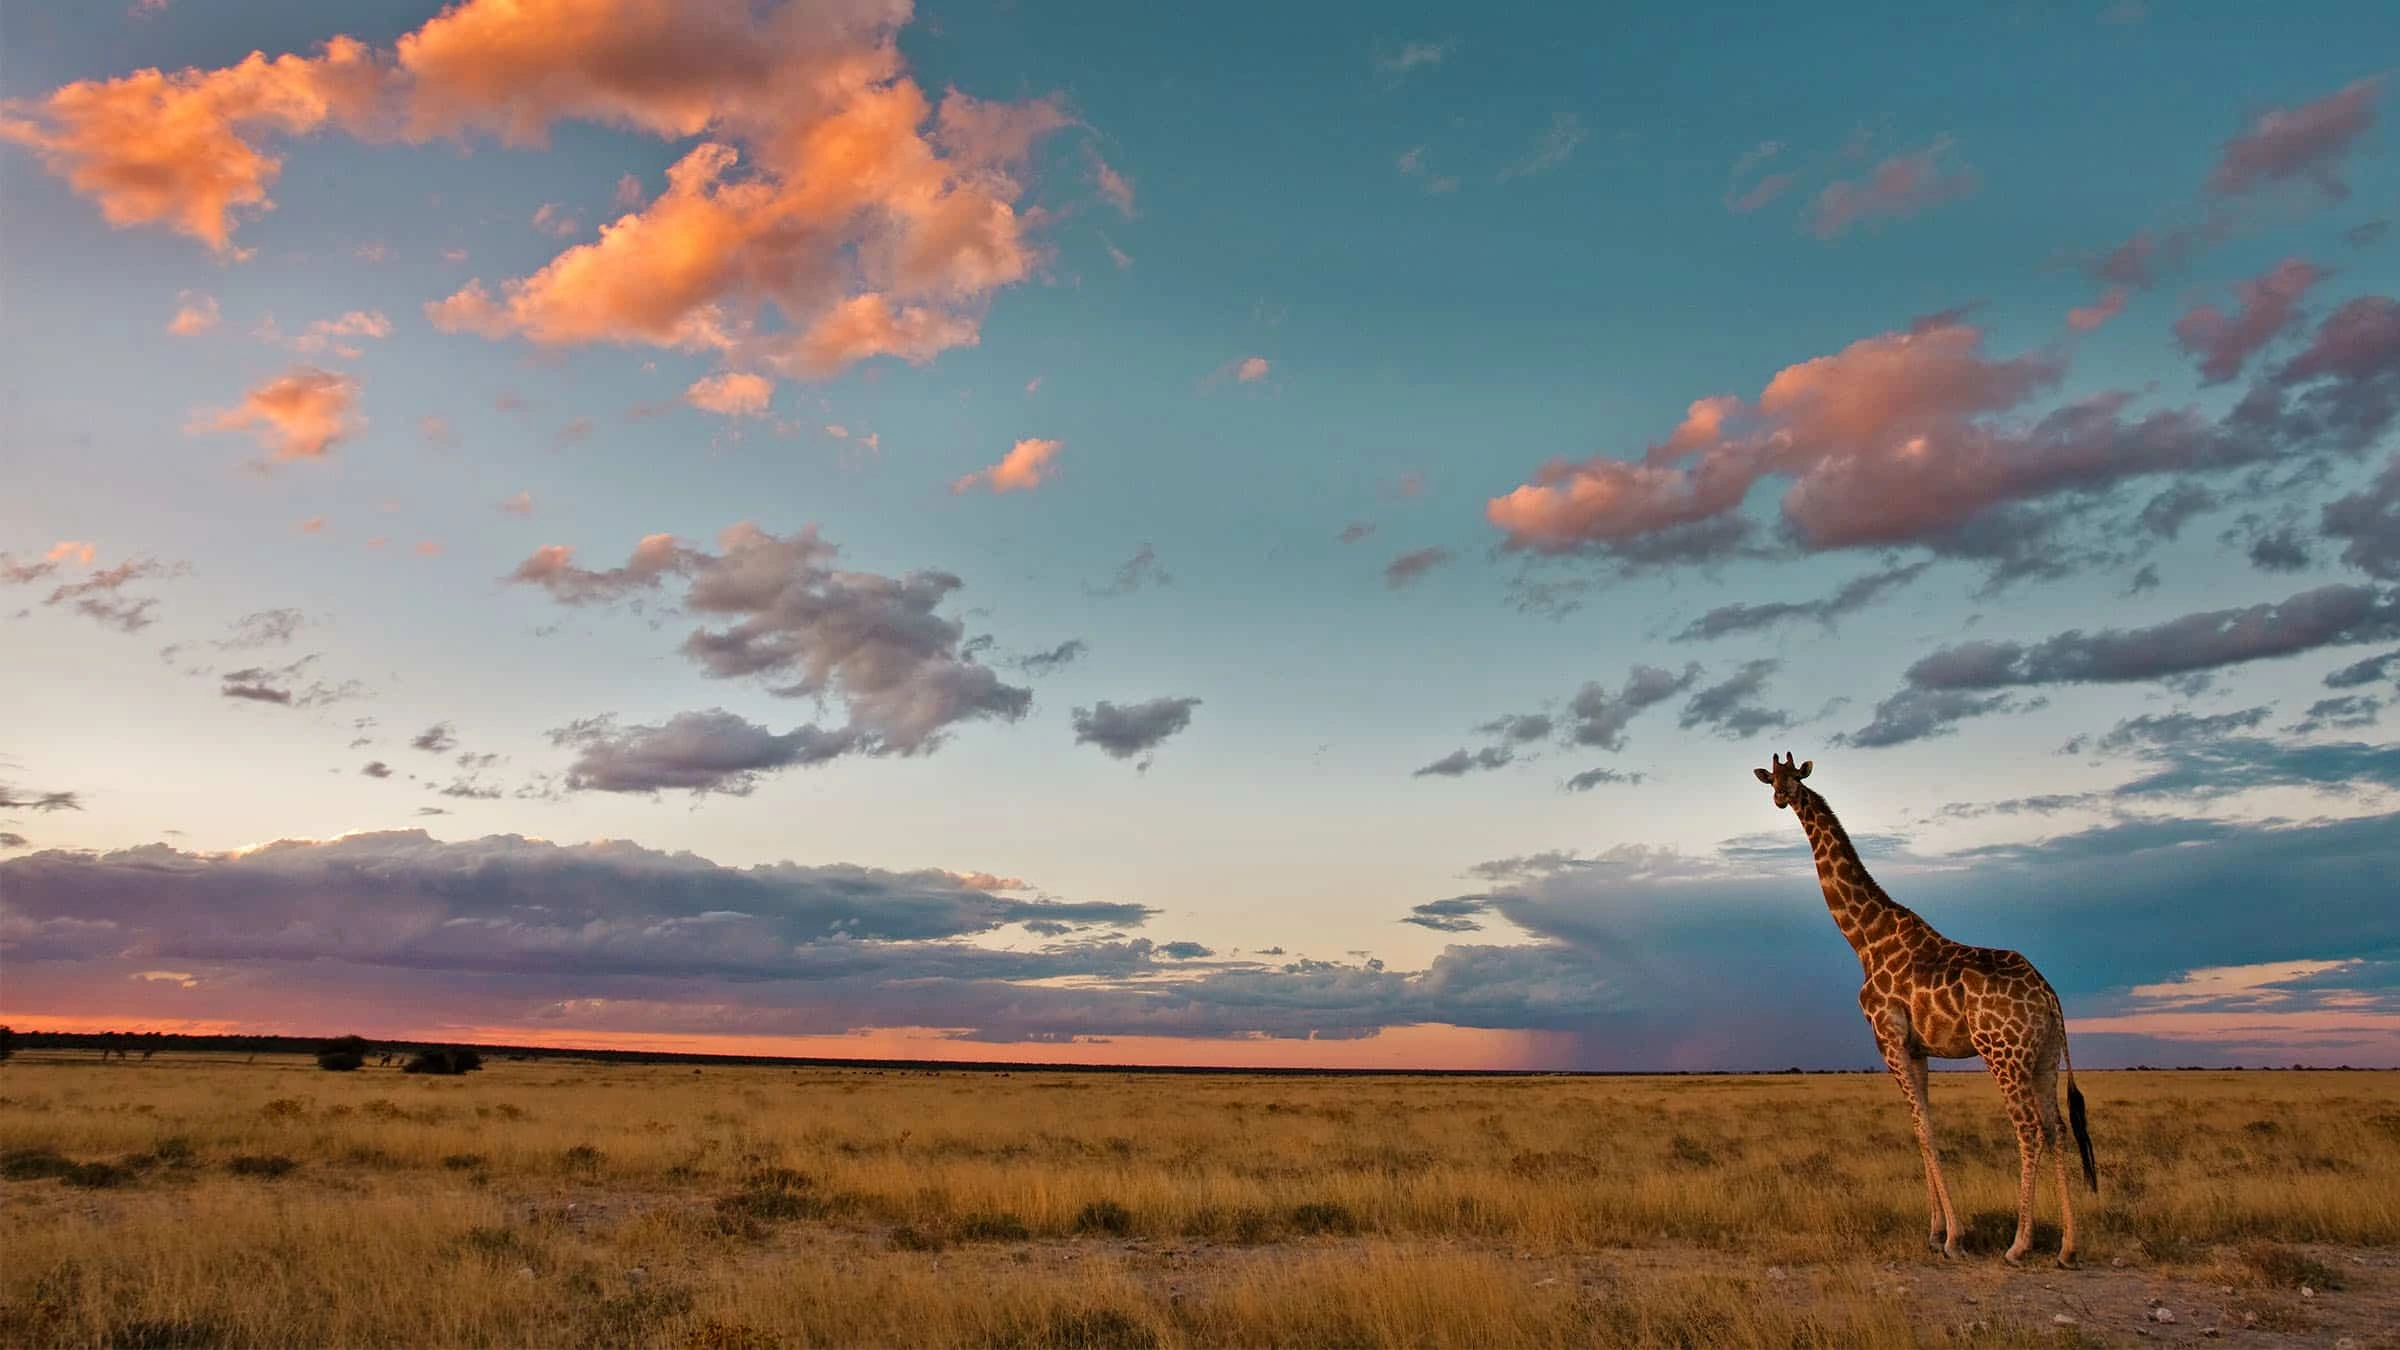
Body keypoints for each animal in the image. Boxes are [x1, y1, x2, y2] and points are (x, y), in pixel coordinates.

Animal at [1753, 753, 2096, 1265]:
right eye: (1771, 778)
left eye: (1795, 777)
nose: (1781, 797)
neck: (1865, 939)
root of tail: (2049, 995)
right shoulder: (1918, 1049)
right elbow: (1924, 1127)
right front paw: (1935, 1232)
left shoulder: (1888, 1038)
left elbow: (1923, 1130)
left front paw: (1953, 1236)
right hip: (2045, 1055)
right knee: (2056, 1127)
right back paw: (2067, 1248)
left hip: (2002, 1051)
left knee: (2029, 1129)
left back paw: (2019, 1244)